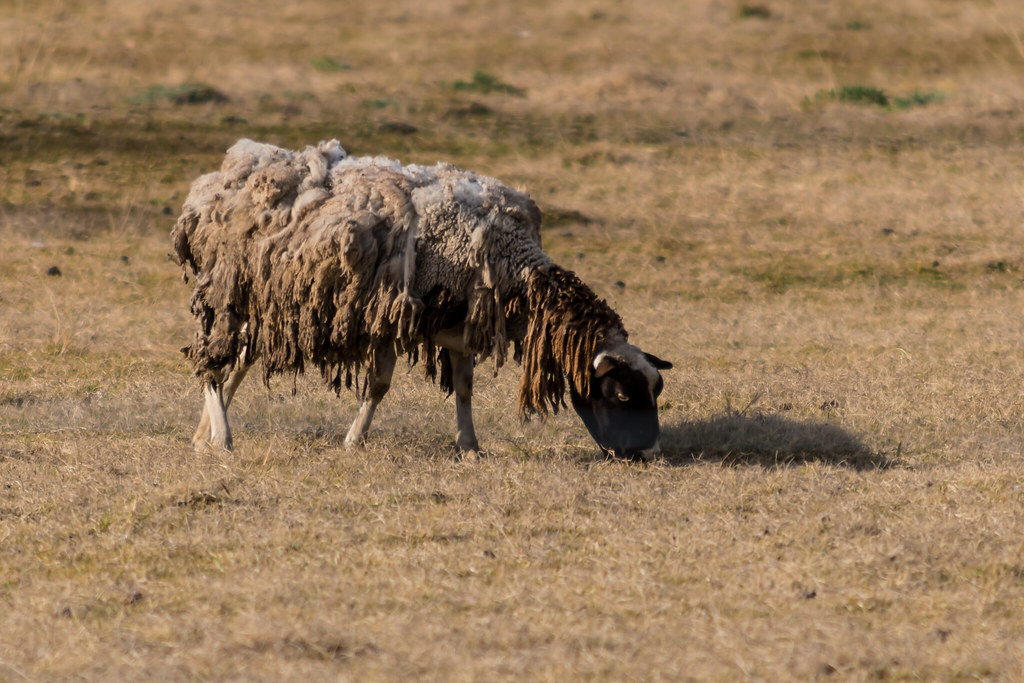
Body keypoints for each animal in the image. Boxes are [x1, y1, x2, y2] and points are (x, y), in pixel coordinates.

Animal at [171, 138, 672, 458]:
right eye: (622, 394)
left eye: (657, 389)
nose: (649, 452)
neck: (509, 263)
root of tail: (214, 184)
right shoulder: (394, 318)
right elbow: (378, 386)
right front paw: (354, 441)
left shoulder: (461, 325)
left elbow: (465, 388)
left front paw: (470, 447)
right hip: (227, 294)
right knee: (211, 362)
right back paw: (222, 440)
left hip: (263, 305)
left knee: (236, 363)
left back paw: (203, 434)